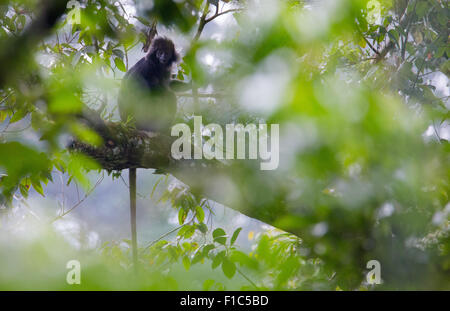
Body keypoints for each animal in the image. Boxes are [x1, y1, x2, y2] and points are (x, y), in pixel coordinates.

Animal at [118, 37, 187, 270]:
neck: (158, 67)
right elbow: (146, 88)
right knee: (162, 95)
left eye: (165, 51)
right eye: (157, 52)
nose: (163, 56)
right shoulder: (147, 68)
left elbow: (170, 83)